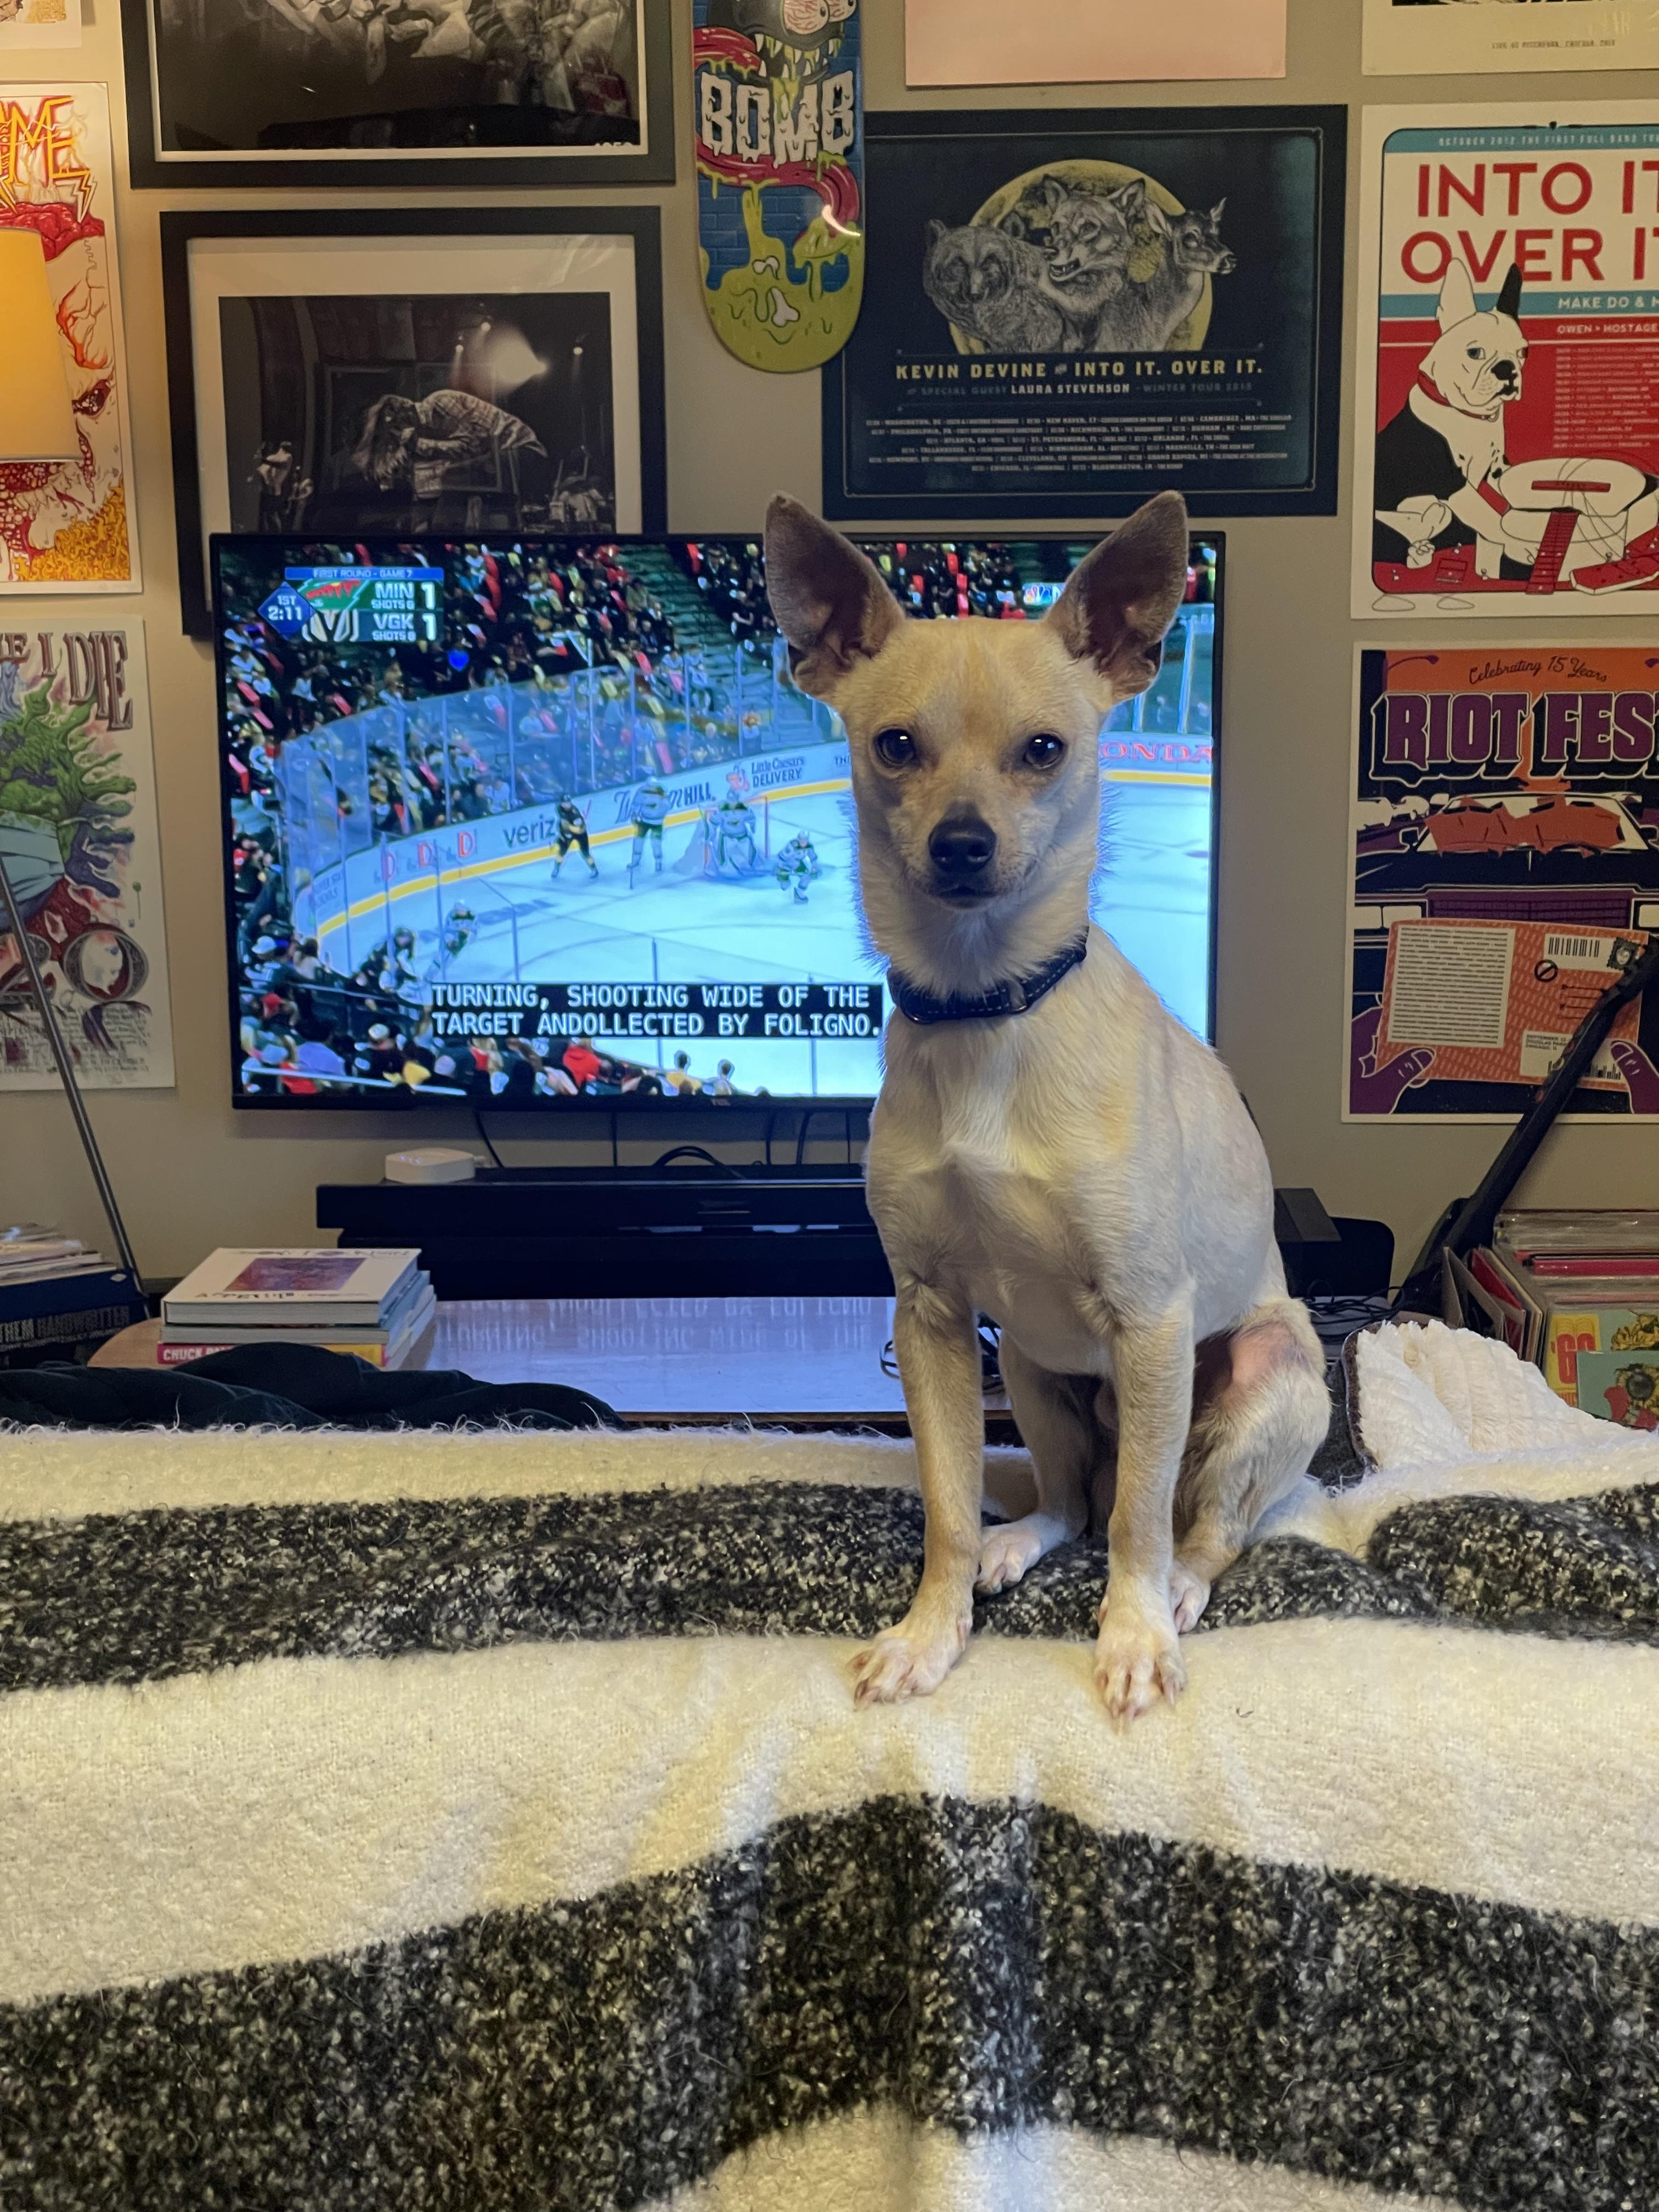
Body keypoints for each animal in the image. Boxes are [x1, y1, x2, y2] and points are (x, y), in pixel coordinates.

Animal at [764, 493, 1331, 1722]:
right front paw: (931, 1633)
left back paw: (1175, 1596)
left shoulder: (1152, 1318)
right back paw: (1014, 1543)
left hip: (1265, 1380)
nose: (962, 845)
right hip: (1026, 1366)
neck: (987, 1005)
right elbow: (945, 1503)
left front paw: (1130, 1638)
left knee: (1191, 1522)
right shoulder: (929, 1317)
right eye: (893, 745)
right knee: (1077, 1499)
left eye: (1045, 751)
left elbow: (1139, 1526)